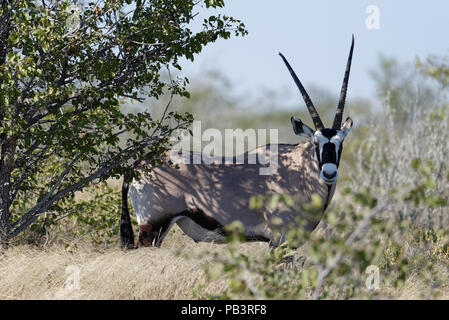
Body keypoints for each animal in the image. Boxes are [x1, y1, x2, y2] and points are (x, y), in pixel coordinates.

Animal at [119, 37, 354, 248]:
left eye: (340, 143)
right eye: (316, 143)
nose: (329, 173)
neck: (298, 171)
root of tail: (137, 166)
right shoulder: (278, 240)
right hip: (153, 226)